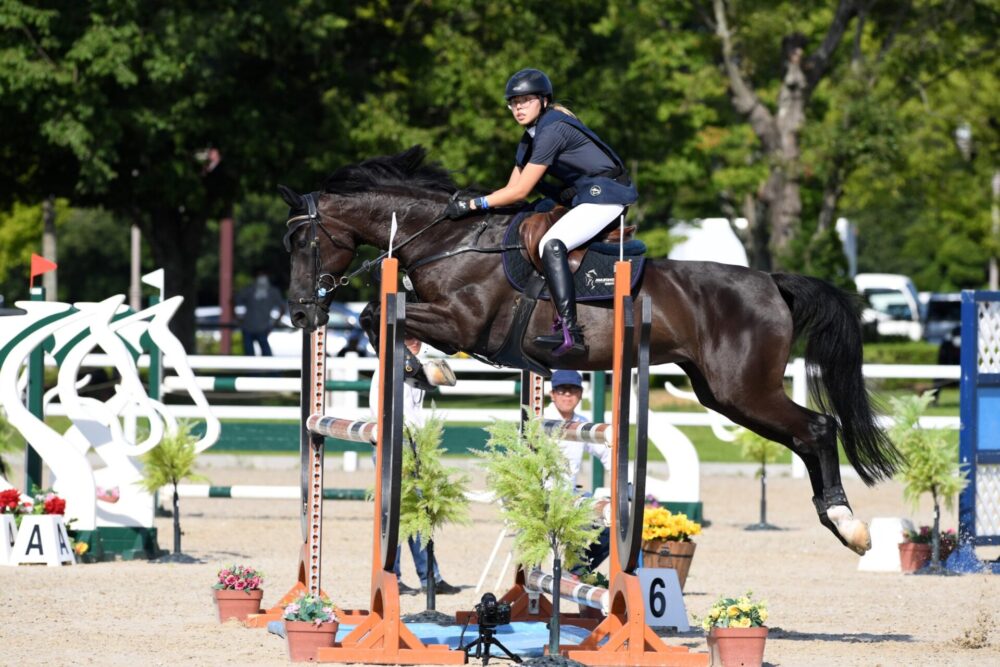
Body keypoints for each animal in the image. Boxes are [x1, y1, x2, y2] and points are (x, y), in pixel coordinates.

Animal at [278, 145, 904, 552]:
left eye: (303, 239)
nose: (303, 314)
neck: (449, 240)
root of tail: (772, 280)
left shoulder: (464, 324)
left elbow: (373, 314)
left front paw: (430, 371)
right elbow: (383, 318)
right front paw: (426, 369)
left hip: (743, 389)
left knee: (818, 428)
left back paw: (849, 525)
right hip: (722, 394)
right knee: (803, 434)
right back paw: (840, 521)